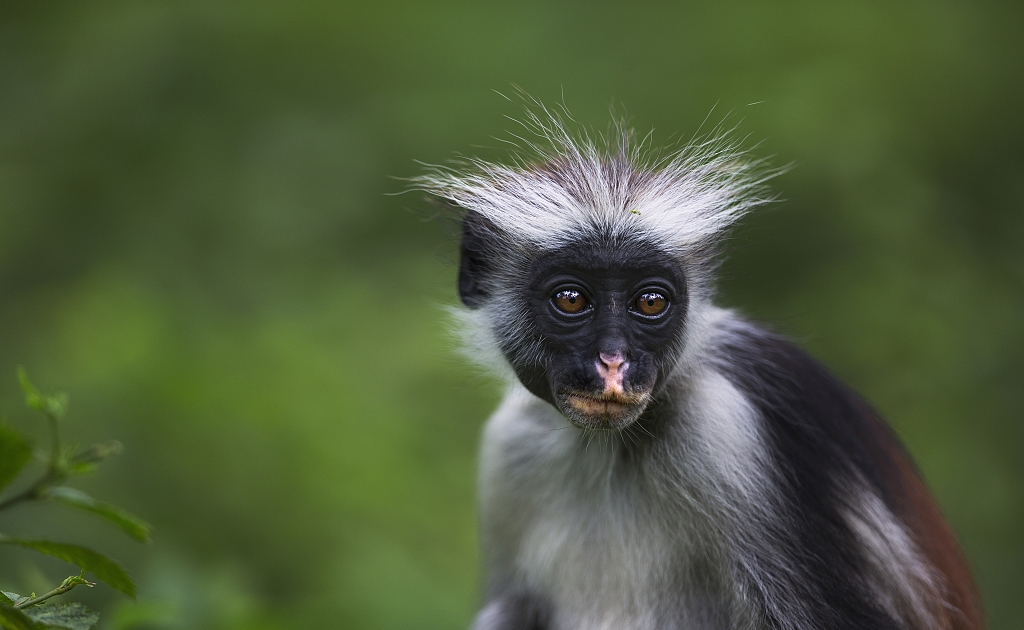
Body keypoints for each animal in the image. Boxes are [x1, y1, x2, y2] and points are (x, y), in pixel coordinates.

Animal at [415, 113, 983, 630]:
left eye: (650, 302)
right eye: (571, 299)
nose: (614, 363)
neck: (609, 448)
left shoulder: (728, 430)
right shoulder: (512, 443)